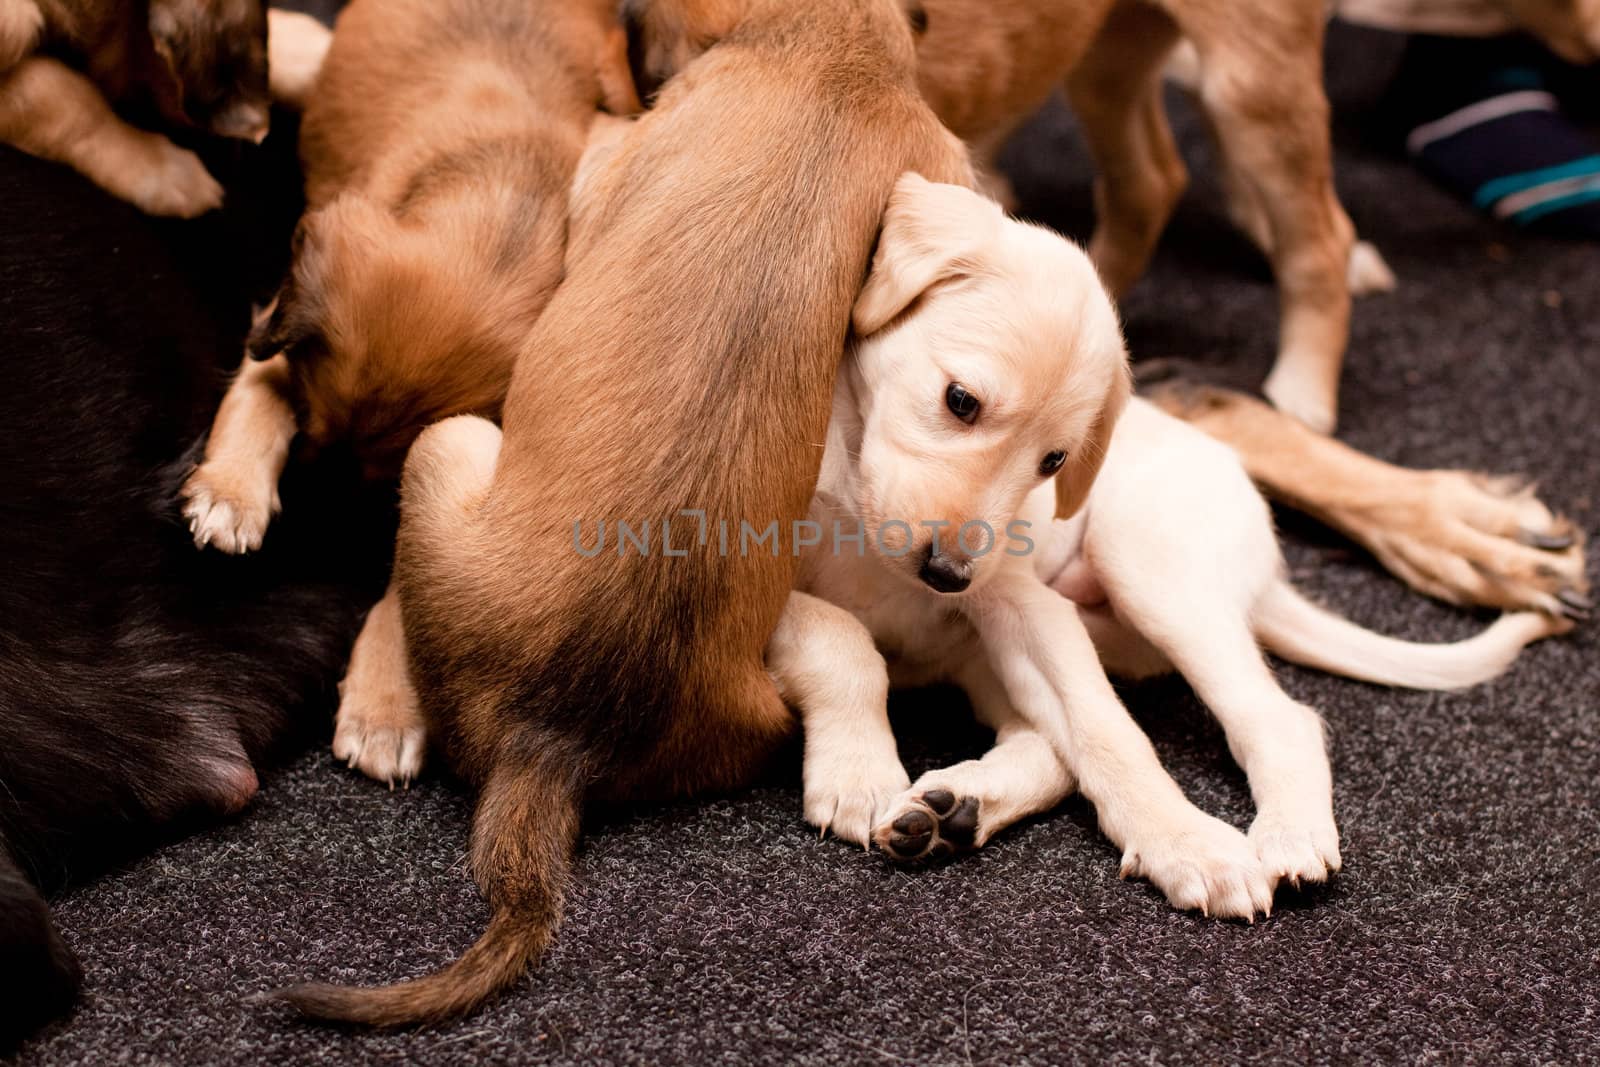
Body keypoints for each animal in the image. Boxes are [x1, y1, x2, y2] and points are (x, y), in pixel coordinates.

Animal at [771, 175, 1561, 921]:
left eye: (1054, 461)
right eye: (960, 400)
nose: (947, 576)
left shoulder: (1029, 606)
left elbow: (1110, 732)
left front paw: (1187, 843)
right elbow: (837, 634)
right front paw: (860, 770)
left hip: (1147, 568)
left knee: (1278, 719)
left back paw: (1287, 834)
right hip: (1012, 647)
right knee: (1045, 744)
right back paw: (953, 808)